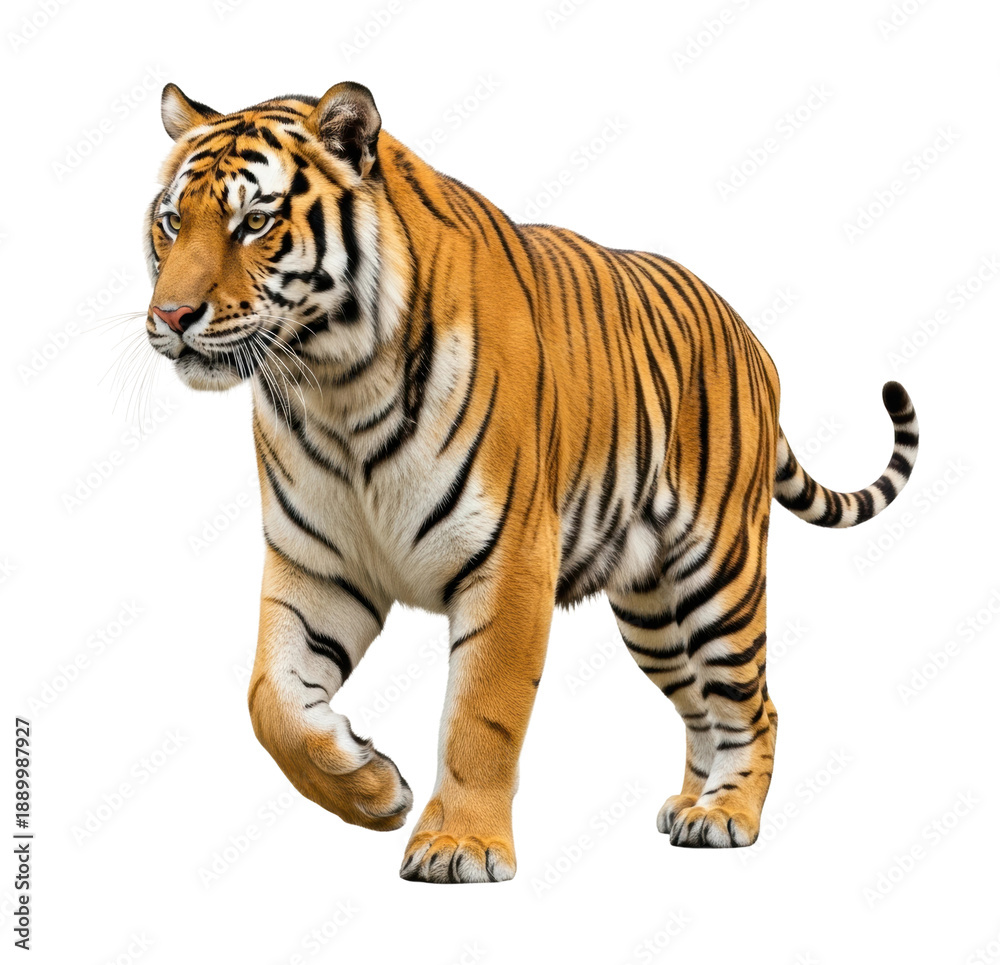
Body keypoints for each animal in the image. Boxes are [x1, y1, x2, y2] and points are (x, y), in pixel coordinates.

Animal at [143, 80, 919, 883]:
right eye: (171, 222)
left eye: (255, 222)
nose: (169, 315)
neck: (335, 384)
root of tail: (750, 335)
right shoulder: (317, 566)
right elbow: (269, 699)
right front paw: (369, 786)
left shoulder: (510, 559)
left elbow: (481, 714)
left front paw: (460, 845)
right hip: (654, 611)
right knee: (699, 707)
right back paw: (689, 804)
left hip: (719, 576)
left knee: (753, 705)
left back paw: (727, 815)